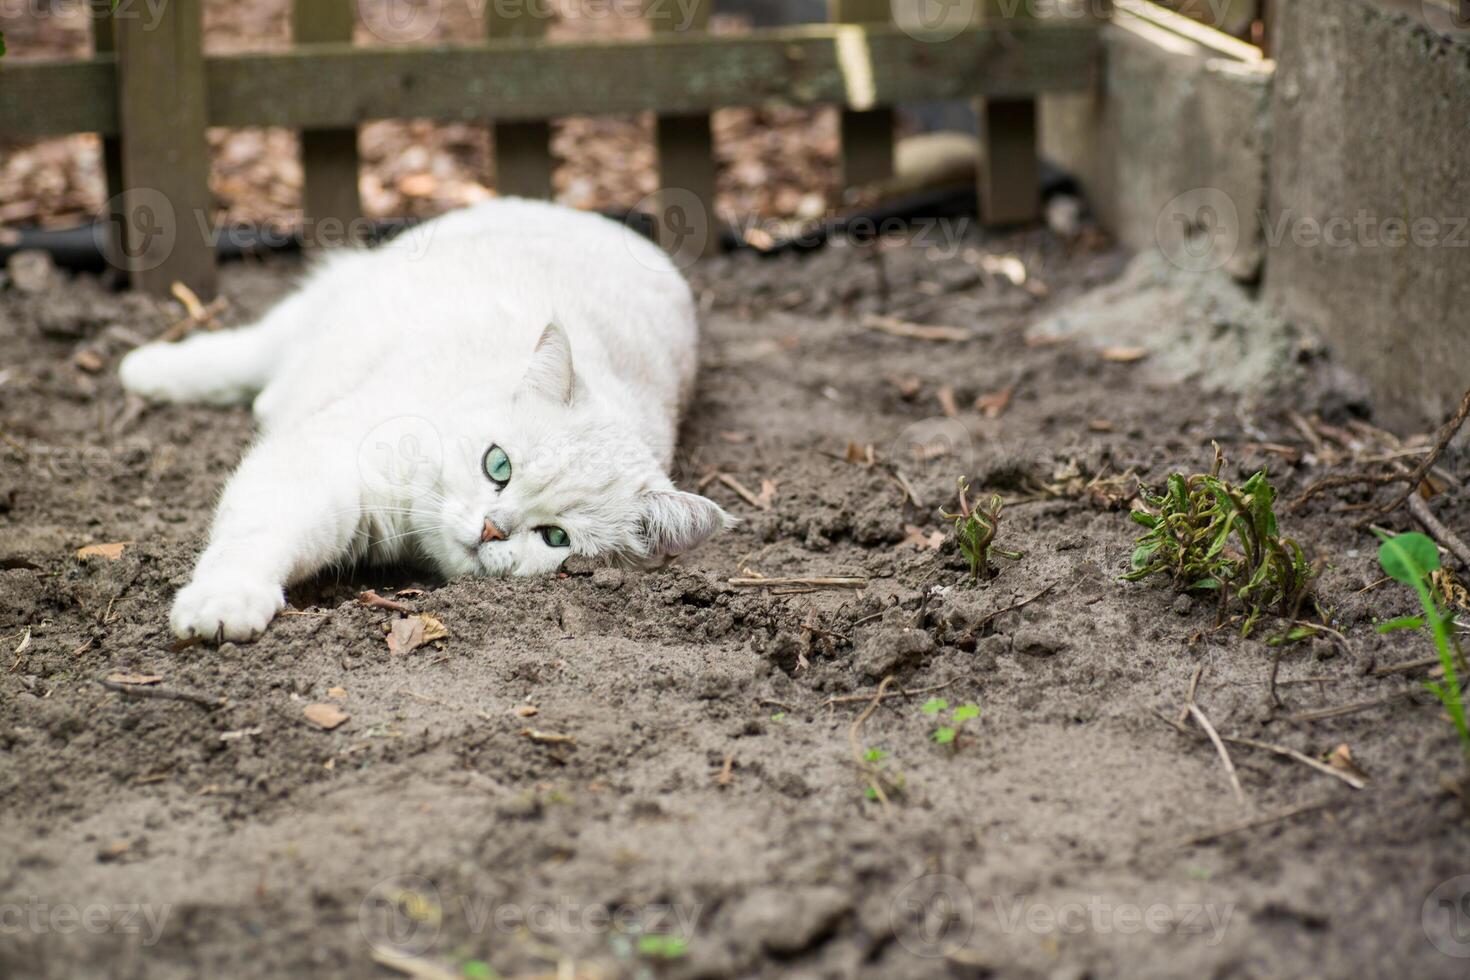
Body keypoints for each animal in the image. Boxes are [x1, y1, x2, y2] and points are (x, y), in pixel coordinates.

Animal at [120, 199, 735, 643]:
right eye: (497, 465)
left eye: (556, 538)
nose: (492, 529)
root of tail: (592, 215)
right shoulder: (320, 461)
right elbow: (258, 532)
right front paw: (226, 599)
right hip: (331, 297)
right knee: (251, 353)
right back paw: (148, 370)